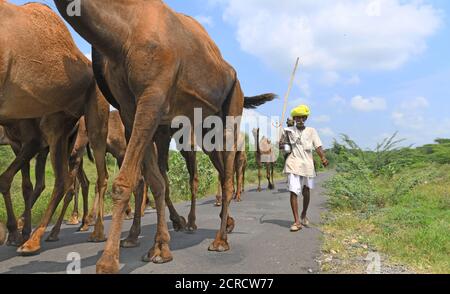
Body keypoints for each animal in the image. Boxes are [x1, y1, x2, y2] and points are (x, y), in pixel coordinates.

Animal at [0, 1, 109, 255]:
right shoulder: (19, 143)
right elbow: (26, 184)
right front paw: (17, 231)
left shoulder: (31, 141)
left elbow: (10, 179)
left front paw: (15, 231)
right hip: (61, 131)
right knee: (65, 180)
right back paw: (41, 235)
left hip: (90, 122)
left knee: (97, 176)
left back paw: (93, 232)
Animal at [55, 0, 276, 274]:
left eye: (78, 127)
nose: (72, 149)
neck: (123, 33)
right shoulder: (130, 109)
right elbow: (155, 179)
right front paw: (159, 248)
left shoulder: (153, 98)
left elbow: (126, 182)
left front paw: (108, 261)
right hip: (203, 128)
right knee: (218, 169)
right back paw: (222, 224)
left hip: (231, 107)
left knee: (226, 175)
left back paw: (219, 239)